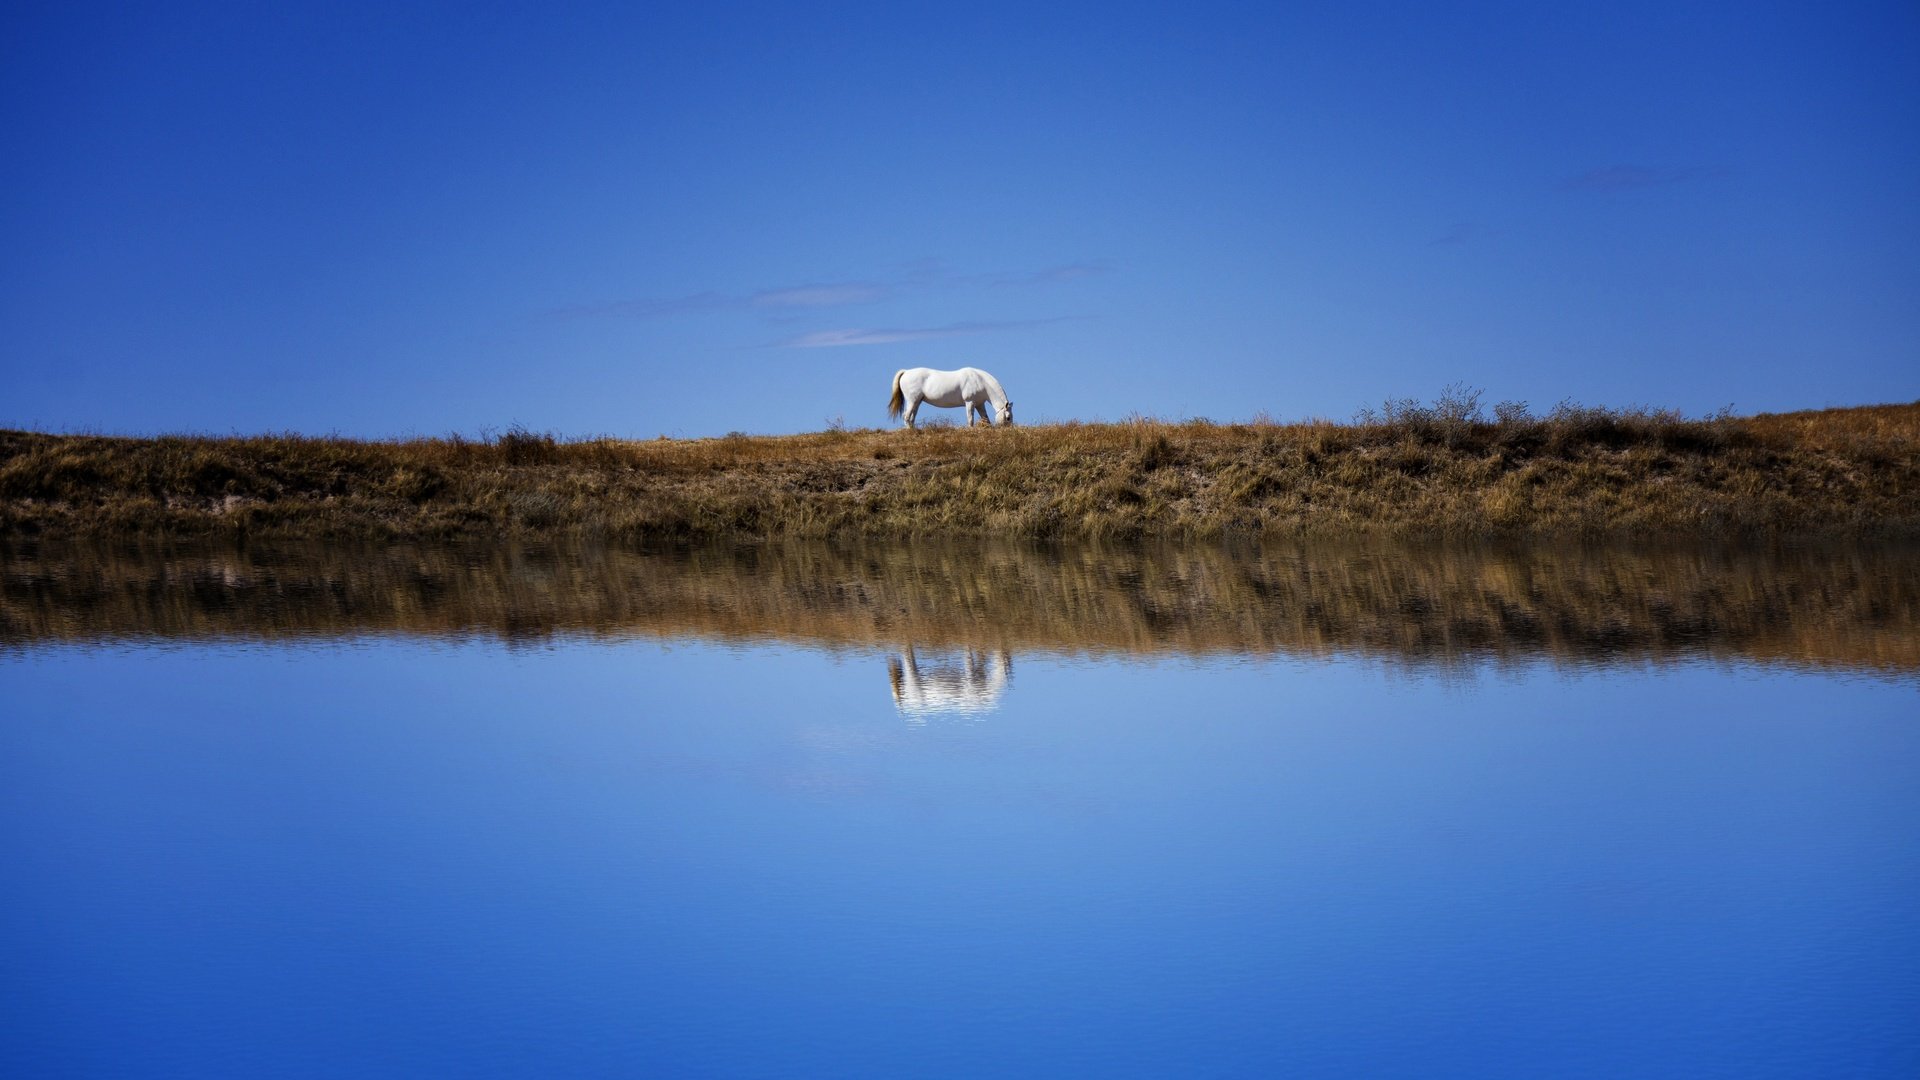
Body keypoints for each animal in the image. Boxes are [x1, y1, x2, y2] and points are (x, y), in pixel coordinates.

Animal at [883, 363, 1013, 426]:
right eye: (1008, 417)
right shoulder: (969, 402)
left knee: (911, 418)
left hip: (917, 402)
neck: (979, 380)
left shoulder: (979, 404)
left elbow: (986, 419)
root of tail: (906, 372)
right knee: (906, 416)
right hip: (912, 400)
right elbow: (970, 419)